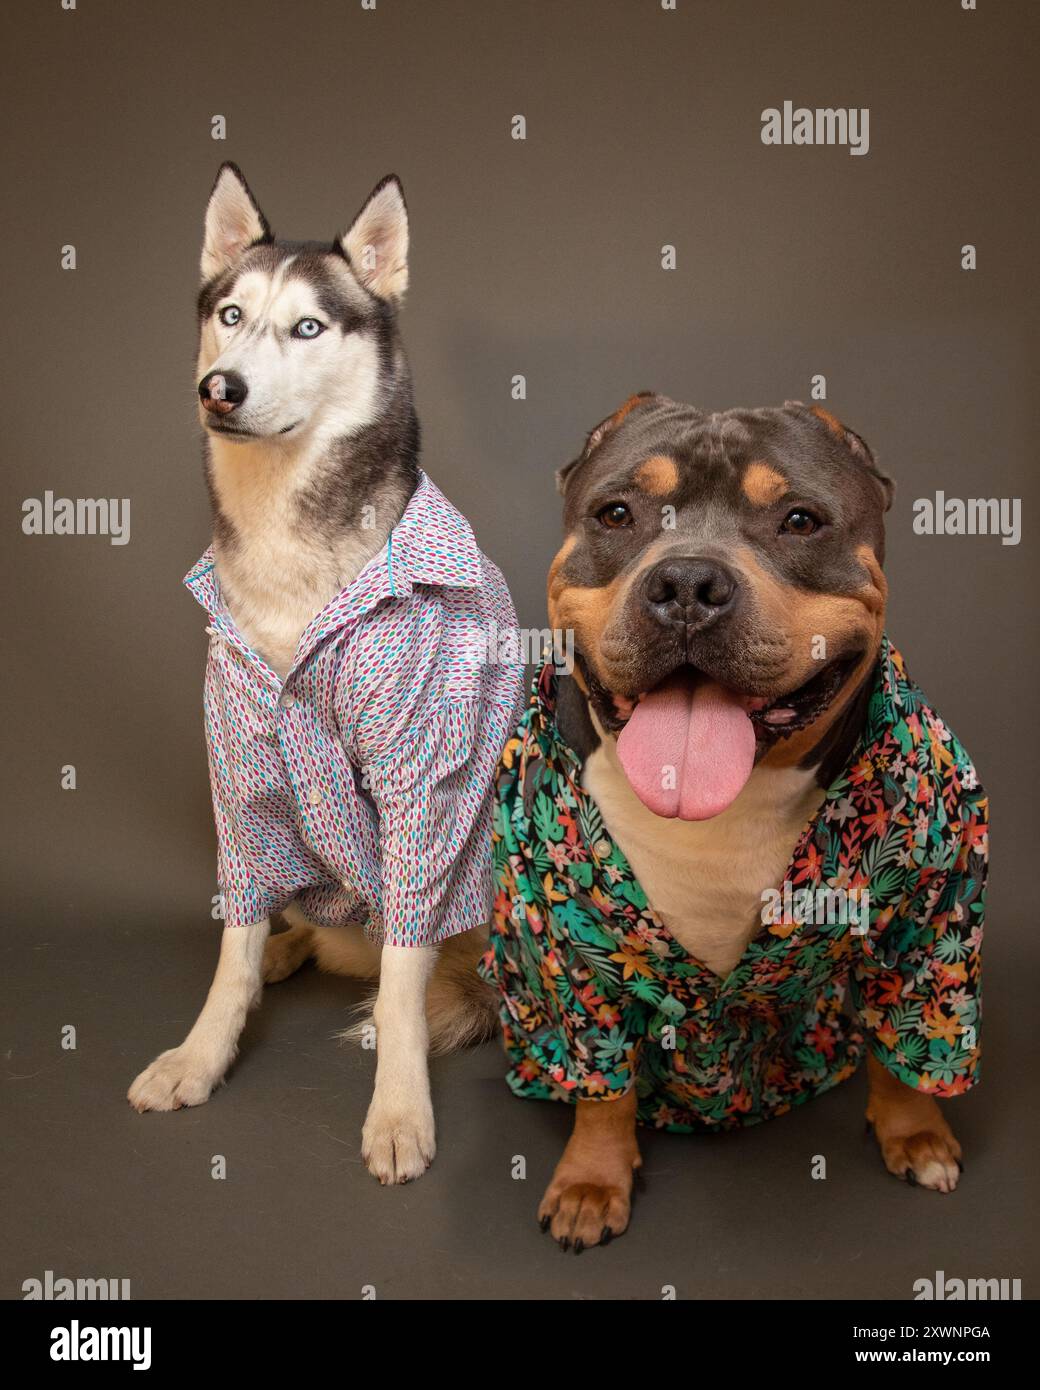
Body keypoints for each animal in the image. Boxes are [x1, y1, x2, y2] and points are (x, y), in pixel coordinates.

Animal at [483, 391, 989, 1251]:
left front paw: (915, 1134)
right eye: (617, 513)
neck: (728, 799)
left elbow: (908, 1045)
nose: (687, 581)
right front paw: (591, 1179)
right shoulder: (566, 956)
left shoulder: (930, 925)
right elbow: (604, 1085)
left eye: (800, 520)